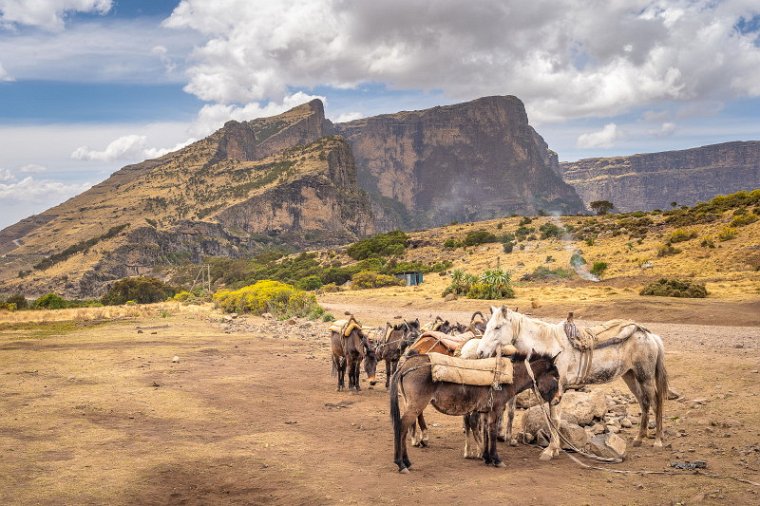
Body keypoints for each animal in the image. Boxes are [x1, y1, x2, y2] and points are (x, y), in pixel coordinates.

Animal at [392, 350, 564, 472]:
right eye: (556, 377)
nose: (558, 399)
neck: (509, 375)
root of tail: (406, 364)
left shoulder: (486, 412)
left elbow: (486, 432)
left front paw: (487, 458)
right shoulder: (496, 410)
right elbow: (492, 433)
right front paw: (496, 459)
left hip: (410, 403)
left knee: (403, 428)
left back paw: (405, 462)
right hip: (416, 405)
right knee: (402, 427)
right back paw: (402, 464)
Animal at [478, 306, 668, 460]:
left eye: (497, 327)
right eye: (487, 327)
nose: (480, 352)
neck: (548, 344)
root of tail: (650, 336)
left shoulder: (558, 389)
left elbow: (554, 418)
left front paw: (550, 450)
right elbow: (551, 418)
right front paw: (554, 448)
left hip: (645, 377)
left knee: (655, 402)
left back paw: (658, 440)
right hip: (630, 376)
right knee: (644, 403)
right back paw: (639, 438)